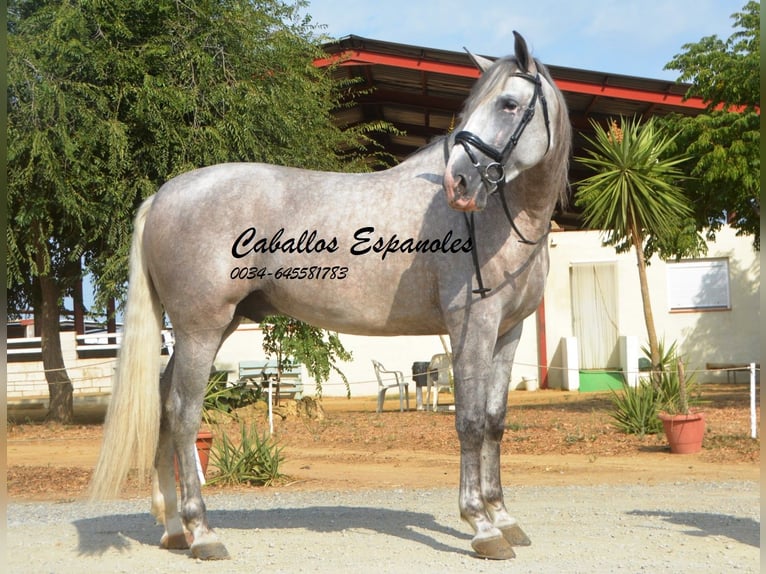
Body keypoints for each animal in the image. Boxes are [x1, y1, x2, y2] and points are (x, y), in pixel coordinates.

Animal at [91, 31, 568, 564]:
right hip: (200, 329)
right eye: (470, 109)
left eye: (508, 104)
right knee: (183, 412)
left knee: (162, 407)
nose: (458, 183)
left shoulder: (508, 331)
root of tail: (162, 196)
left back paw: (175, 528)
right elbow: (467, 422)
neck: (499, 220)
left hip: (210, 327)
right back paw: (203, 533)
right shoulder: (472, 327)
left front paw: (504, 518)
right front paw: (481, 526)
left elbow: (493, 421)